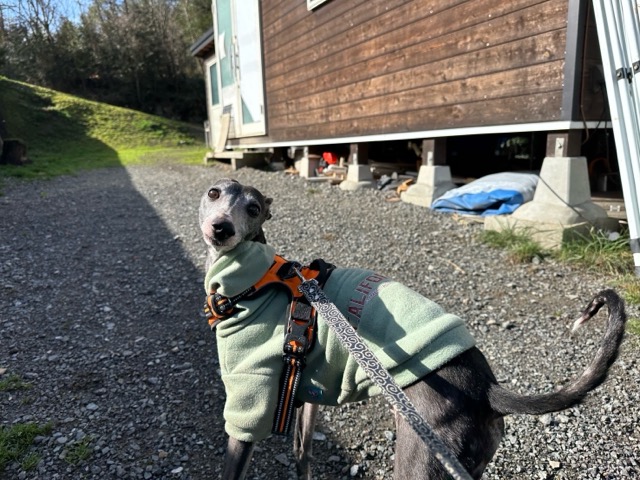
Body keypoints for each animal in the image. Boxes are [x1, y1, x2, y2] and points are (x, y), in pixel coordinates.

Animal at [199, 178, 627, 480]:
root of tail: (485, 388)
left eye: (254, 208)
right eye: (214, 192)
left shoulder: (249, 401)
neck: (258, 282)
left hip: (421, 460)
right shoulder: (304, 395)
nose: (221, 228)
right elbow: (303, 455)